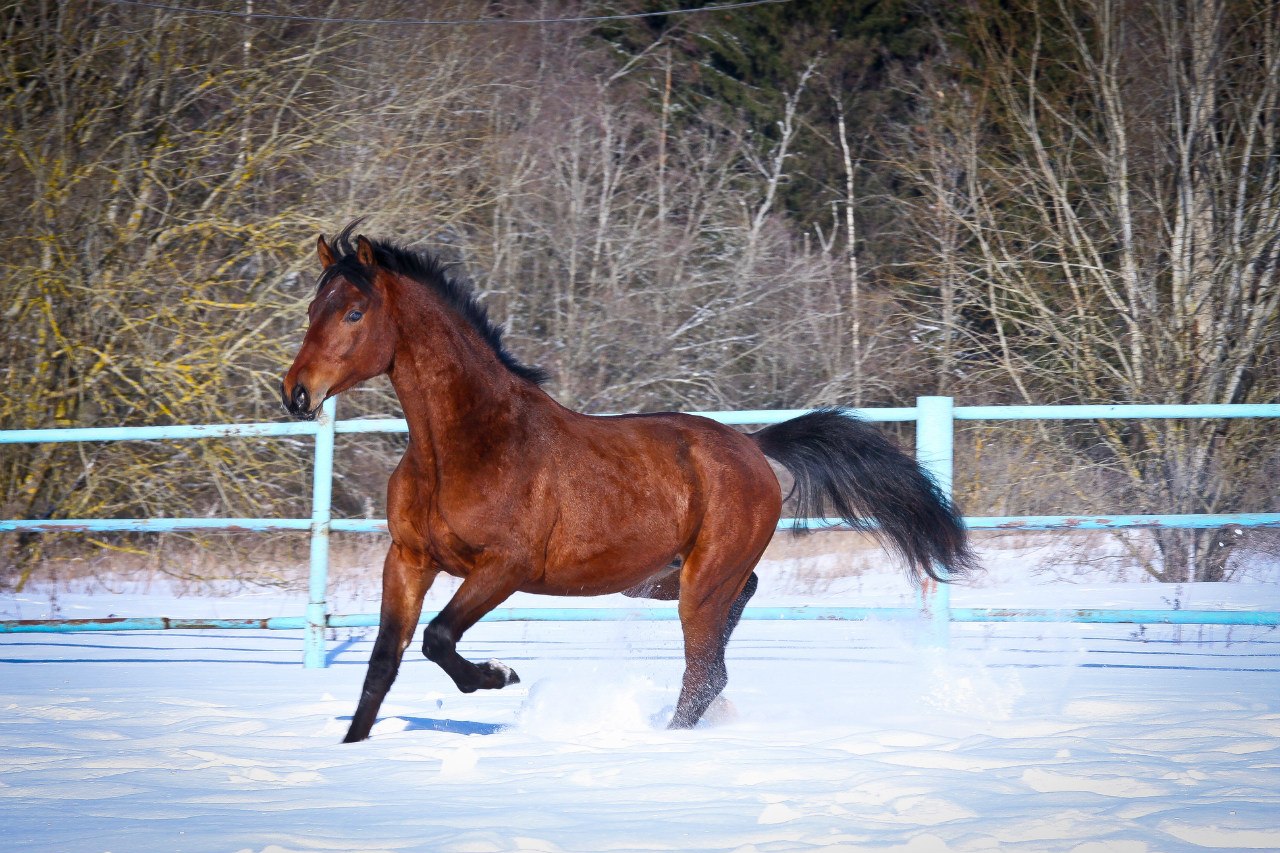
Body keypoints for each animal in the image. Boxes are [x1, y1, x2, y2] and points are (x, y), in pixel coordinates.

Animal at [282, 222, 967, 742]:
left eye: (353, 312)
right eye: (312, 309)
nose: (296, 394)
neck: (463, 447)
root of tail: (752, 447)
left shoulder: (505, 566)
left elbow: (438, 637)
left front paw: (500, 675)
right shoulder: (408, 559)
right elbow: (383, 661)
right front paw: (351, 749)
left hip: (699, 582)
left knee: (704, 672)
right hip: (665, 580)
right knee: (728, 630)